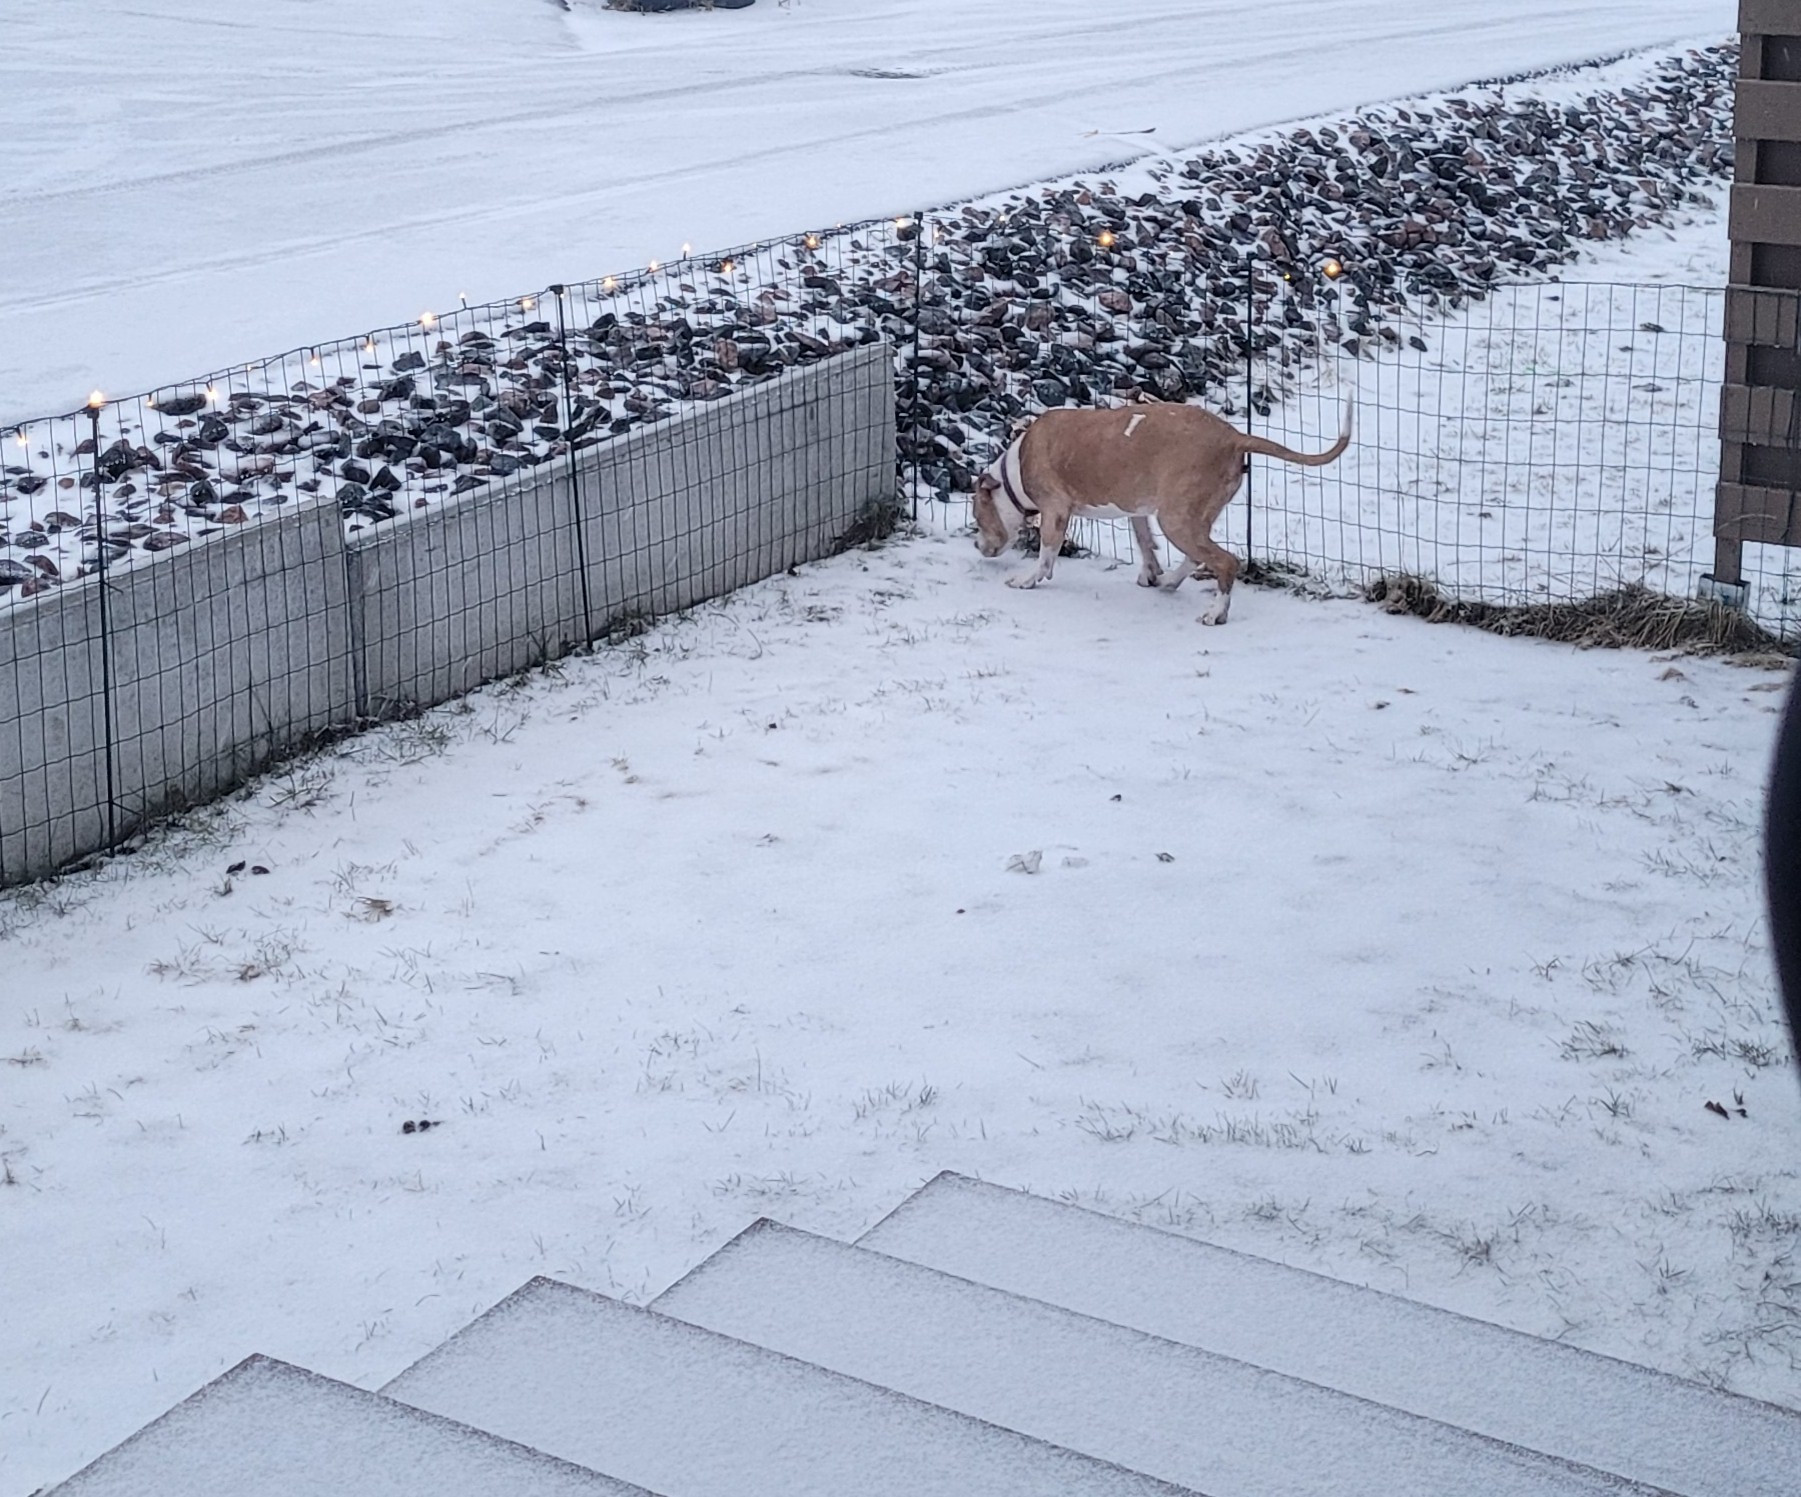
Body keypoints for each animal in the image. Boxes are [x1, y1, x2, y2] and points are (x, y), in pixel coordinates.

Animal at [979, 394, 1347, 623]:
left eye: (977, 518)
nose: (979, 547)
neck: (1015, 466)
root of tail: (1233, 437)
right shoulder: (1138, 509)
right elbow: (1144, 542)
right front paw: (1151, 572)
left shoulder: (1056, 510)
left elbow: (1046, 554)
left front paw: (1027, 579)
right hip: (1191, 515)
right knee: (1198, 556)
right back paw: (1170, 581)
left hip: (1176, 519)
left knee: (1226, 562)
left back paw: (1216, 613)